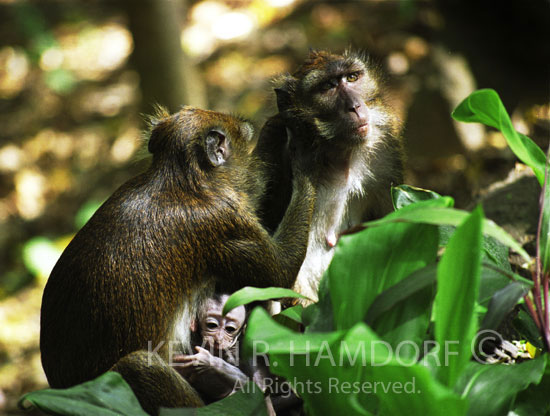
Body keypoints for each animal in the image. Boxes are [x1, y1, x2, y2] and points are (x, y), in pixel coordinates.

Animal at [40, 106, 314, 412]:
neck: (180, 178)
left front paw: (276, 131)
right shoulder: (224, 220)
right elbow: (279, 274)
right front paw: (305, 172)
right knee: (139, 365)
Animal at [258, 51, 406, 302]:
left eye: (352, 77)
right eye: (327, 87)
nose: (355, 106)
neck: (338, 152)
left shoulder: (386, 147)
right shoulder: (273, 140)